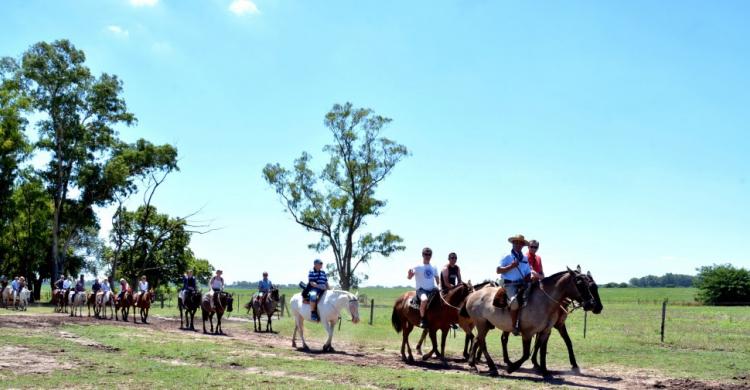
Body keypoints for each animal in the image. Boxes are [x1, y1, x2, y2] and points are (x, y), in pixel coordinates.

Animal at [464, 268, 600, 378]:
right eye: (579, 283)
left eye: (592, 285)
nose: (593, 305)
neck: (544, 301)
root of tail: (473, 294)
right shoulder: (527, 333)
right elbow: (526, 354)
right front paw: (511, 368)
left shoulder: (545, 331)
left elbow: (542, 351)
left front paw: (544, 371)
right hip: (481, 324)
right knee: (482, 342)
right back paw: (492, 366)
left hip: (485, 325)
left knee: (477, 340)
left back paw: (474, 363)